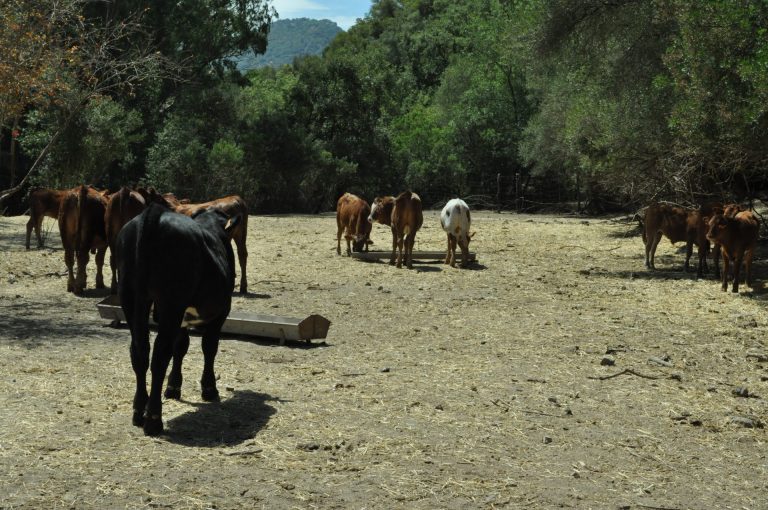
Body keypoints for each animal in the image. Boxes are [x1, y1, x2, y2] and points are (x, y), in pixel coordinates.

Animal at [117, 203, 240, 434]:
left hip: (130, 297)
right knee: (159, 355)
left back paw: (139, 411)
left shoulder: (182, 319)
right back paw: (153, 420)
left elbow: (180, 346)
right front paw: (209, 388)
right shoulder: (221, 311)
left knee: (139, 352)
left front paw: (173, 386)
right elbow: (209, 346)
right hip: (171, 302)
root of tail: (154, 213)